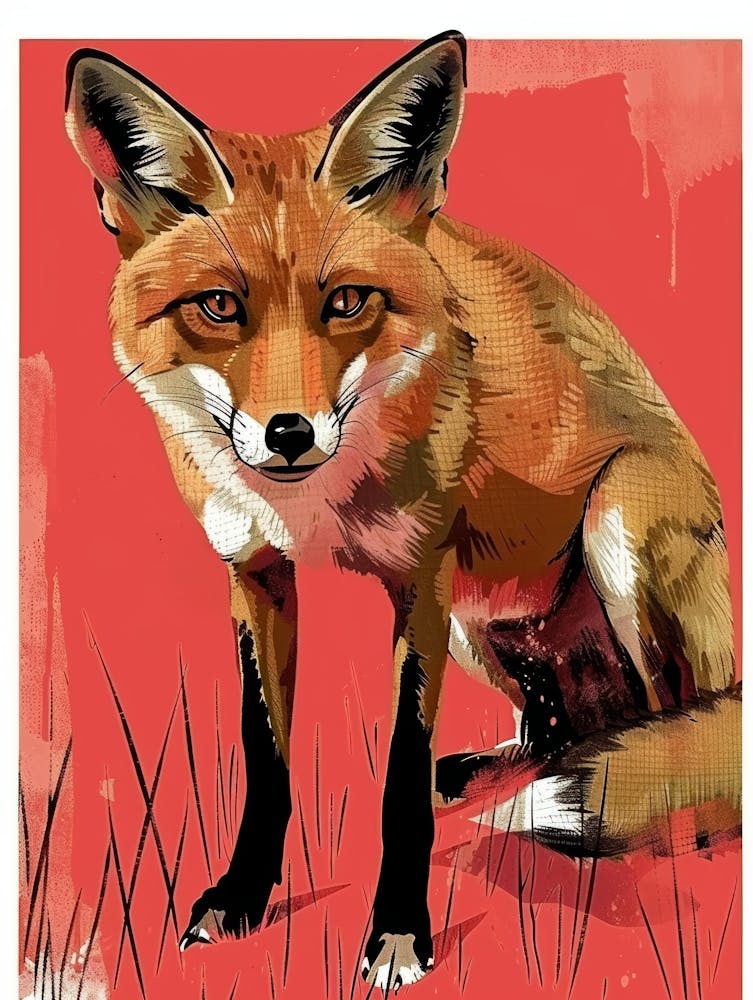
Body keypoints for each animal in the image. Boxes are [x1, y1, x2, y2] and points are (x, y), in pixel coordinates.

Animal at [65, 32, 740, 992]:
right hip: (482, 623)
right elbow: (265, 758)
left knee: (671, 732)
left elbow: (395, 780)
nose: (288, 432)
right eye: (219, 307)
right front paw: (242, 897)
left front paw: (396, 932)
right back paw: (494, 773)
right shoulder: (257, 574)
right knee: (563, 728)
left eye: (347, 301)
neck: (312, 504)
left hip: (615, 531)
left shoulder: (419, 577)